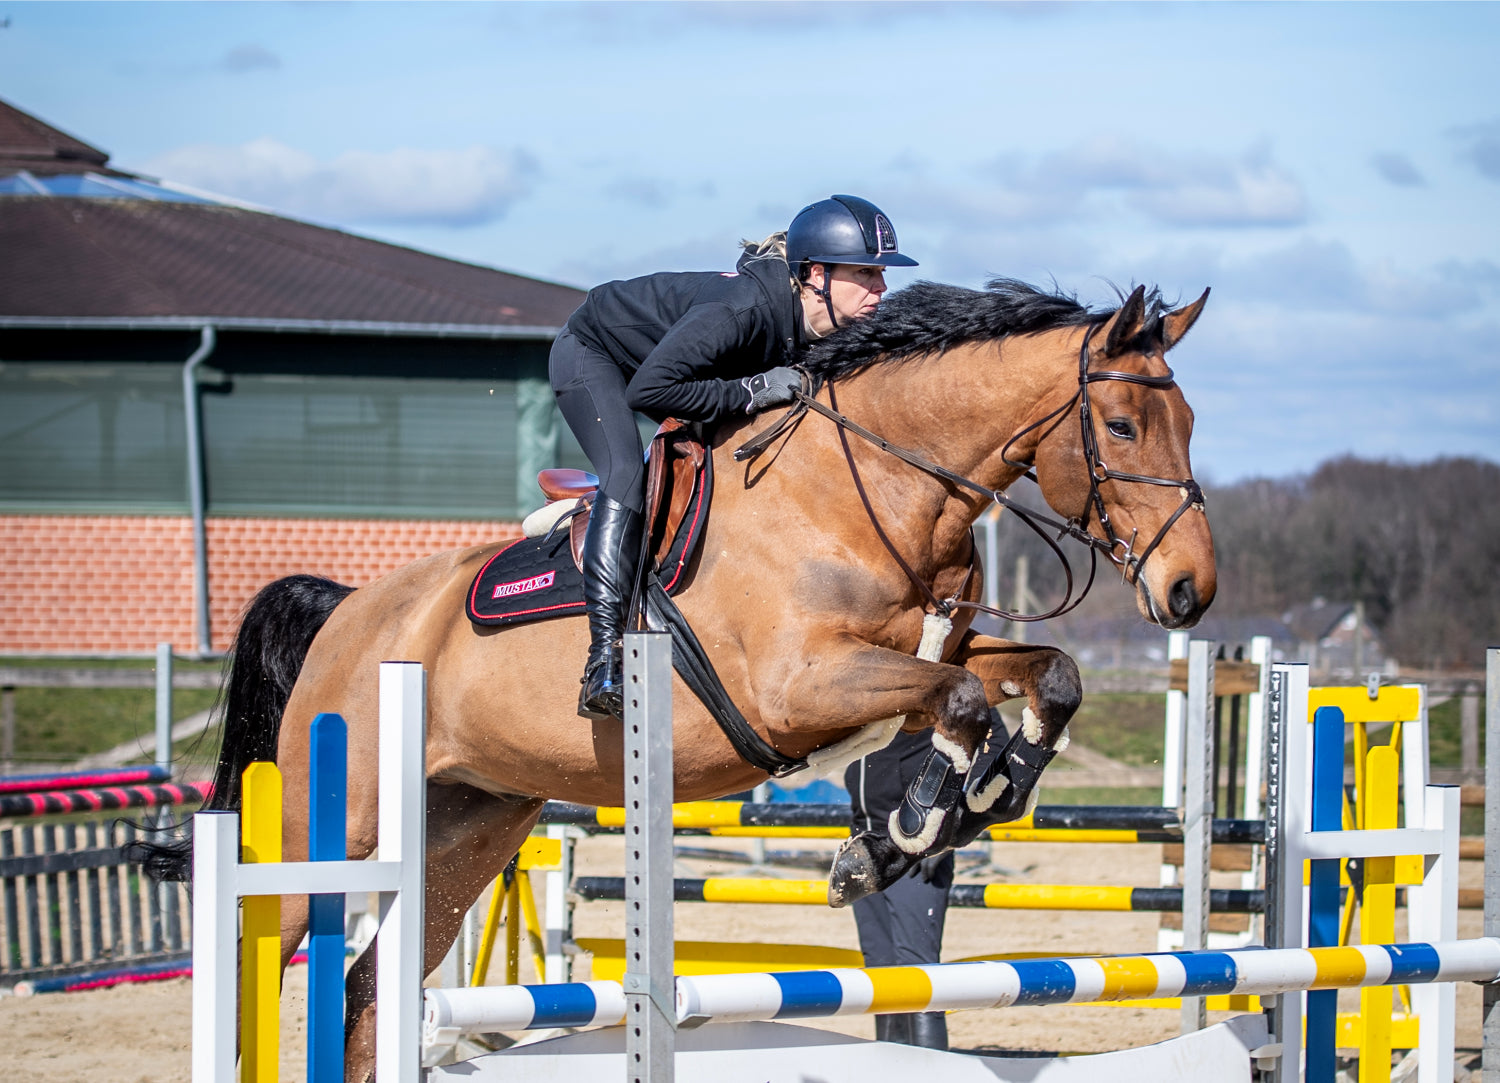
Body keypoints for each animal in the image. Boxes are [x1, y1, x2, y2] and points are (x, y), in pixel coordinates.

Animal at [143, 276, 1218, 1074]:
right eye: (1122, 426)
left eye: (1190, 420)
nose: (1191, 589)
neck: (867, 487)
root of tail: (349, 610)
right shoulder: (798, 688)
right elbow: (956, 710)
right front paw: (908, 831)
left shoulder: (929, 654)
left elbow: (1047, 679)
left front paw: (954, 811)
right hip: (330, 818)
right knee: (254, 953)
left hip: (469, 826)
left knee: (372, 986)